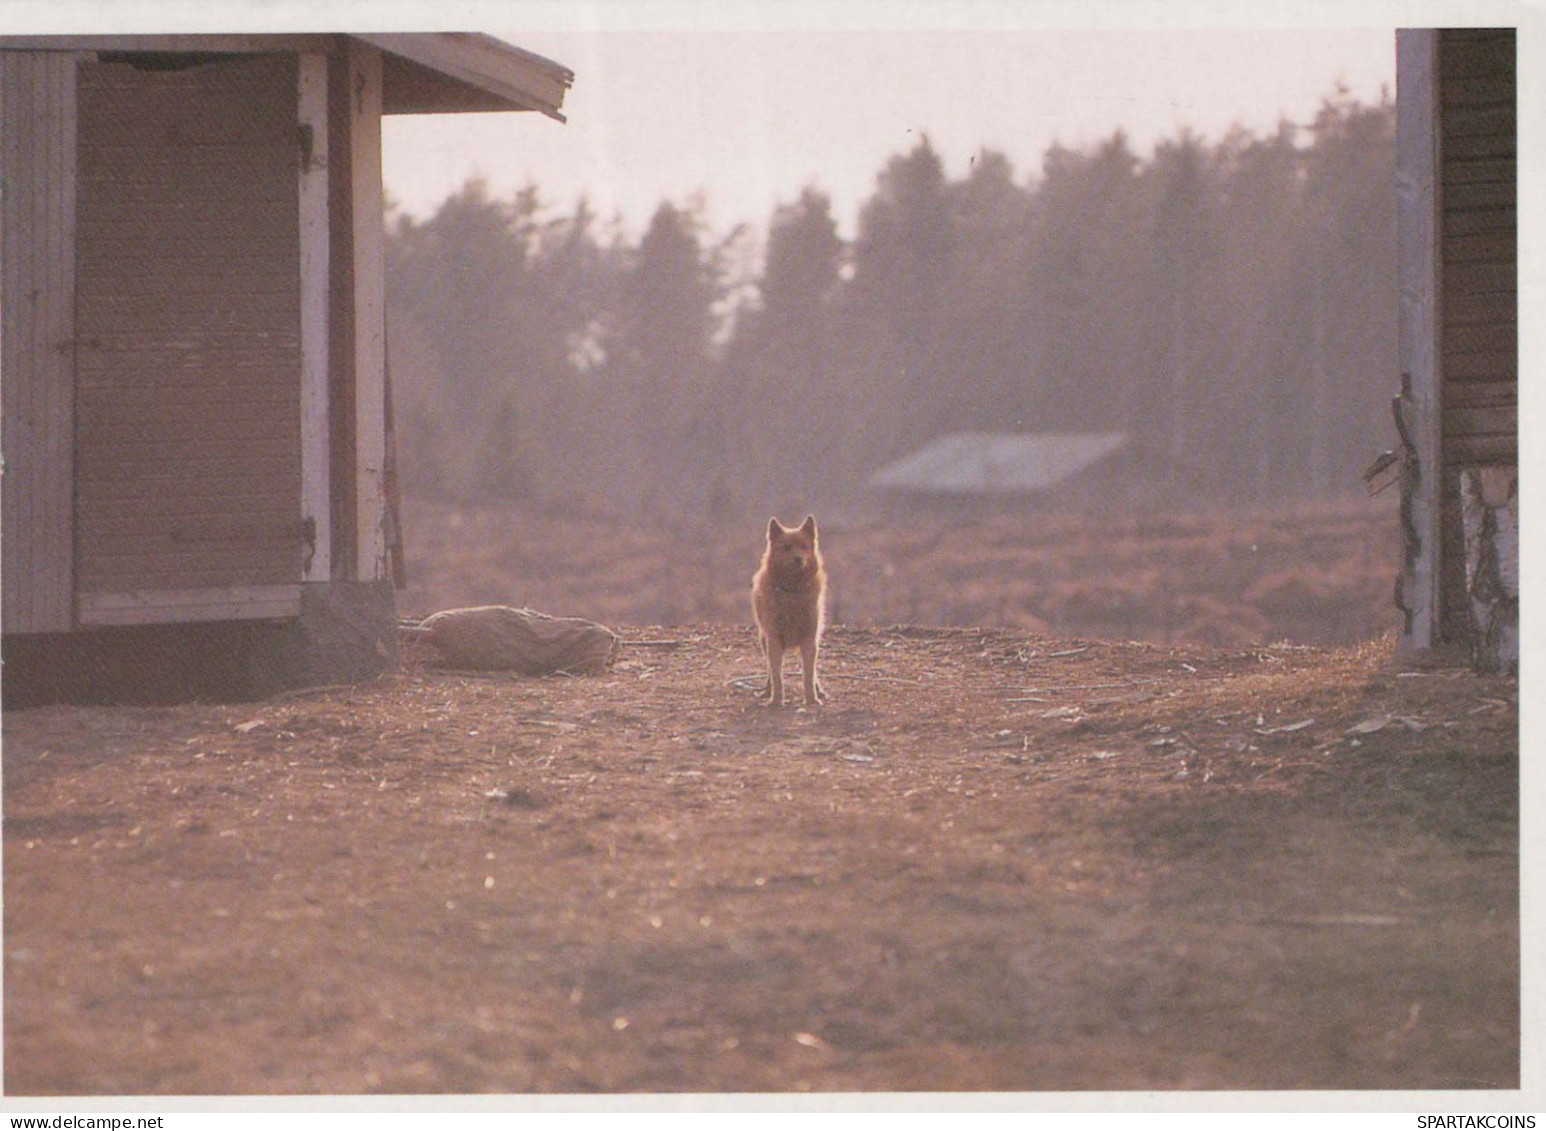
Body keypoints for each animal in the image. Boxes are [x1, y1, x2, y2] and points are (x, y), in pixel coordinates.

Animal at [751, 516, 828, 707]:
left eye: (803, 546)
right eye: (786, 547)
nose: (798, 559)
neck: (792, 593)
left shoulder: (809, 639)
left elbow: (808, 676)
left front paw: (812, 700)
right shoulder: (774, 640)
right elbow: (777, 676)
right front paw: (776, 701)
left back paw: (819, 691)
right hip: (764, 641)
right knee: (770, 671)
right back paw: (767, 691)